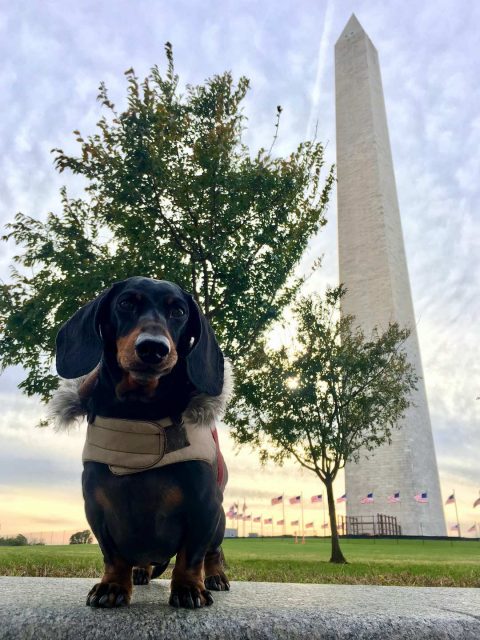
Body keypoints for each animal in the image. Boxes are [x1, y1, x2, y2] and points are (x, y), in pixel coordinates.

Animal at [52, 276, 231, 608]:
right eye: (125, 303)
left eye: (179, 311)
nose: (153, 348)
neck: (139, 412)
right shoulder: (97, 506)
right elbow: (113, 555)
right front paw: (112, 586)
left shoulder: (204, 505)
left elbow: (191, 555)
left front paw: (188, 588)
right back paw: (140, 571)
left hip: (220, 521)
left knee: (212, 552)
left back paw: (214, 577)